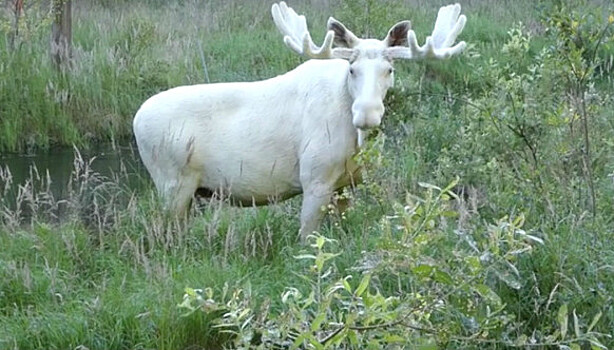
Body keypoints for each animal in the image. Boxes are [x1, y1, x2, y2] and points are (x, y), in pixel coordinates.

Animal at [134, 0, 466, 241]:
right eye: (352, 69)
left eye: (390, 69)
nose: (367, 114)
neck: (354, 142)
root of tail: (136, 121)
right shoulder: (314, 177)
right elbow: (307, 238)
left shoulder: (347, 185)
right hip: (172, 183)